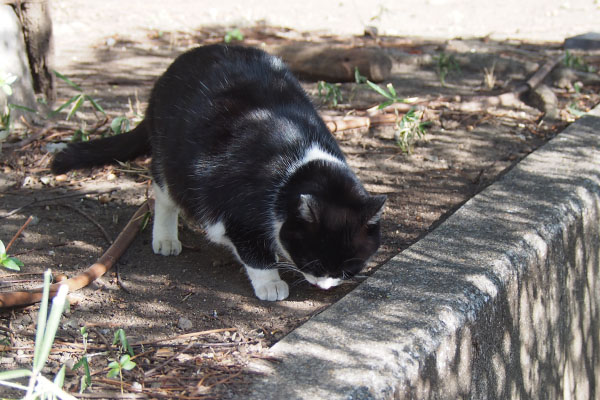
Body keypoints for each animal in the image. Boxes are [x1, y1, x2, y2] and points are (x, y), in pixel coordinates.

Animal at [51, 44, 384, 300]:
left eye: (348, 268)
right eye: (312, 261)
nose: (324, 285)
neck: (297, 165)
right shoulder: (236, 209)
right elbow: (253, 250)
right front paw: (271, 283)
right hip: (169, 157)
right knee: (164, 193)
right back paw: (166, 237)